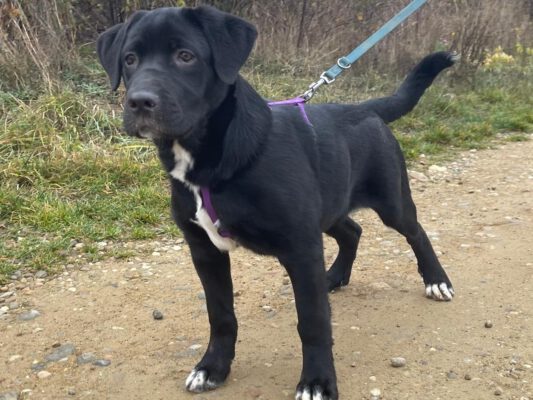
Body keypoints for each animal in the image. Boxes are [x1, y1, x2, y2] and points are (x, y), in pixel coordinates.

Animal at [97, 6, 455, 400]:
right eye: (129, 59)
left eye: (185, 56)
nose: (139, 102)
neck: (210, 161)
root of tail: (366, 108)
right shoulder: (204, 250)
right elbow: (221, 315)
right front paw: (212, 368)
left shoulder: (300, 247)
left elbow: (313, 321)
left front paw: (317, 382)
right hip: (330, 205)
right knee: (352, 231)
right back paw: (334, 276)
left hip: (391, 202)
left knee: (415, 232)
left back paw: (436, 280)